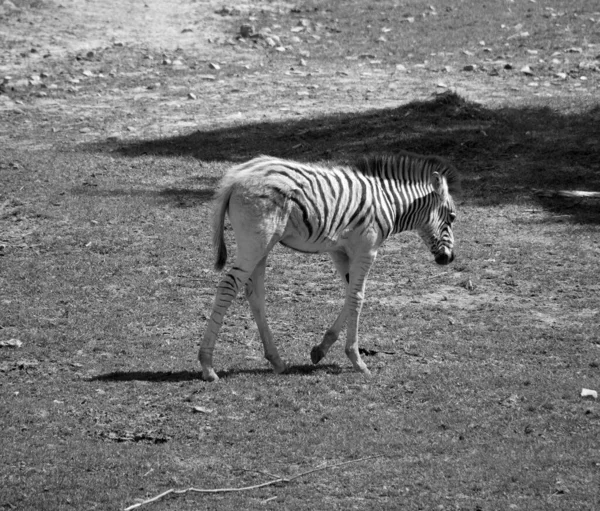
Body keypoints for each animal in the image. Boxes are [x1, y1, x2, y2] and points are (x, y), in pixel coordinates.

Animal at [200, 154, 460, 382]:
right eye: (452, 217)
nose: (449, 258)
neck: (389, 203)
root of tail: (237, 177)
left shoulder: (339, 251)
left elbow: (350, 294)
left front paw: (321, 349)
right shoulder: (366, 250)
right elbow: (357, 297)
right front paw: (357, 361)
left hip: (263, 246)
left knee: (255, 294)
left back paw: (276, 361)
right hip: (255, 242)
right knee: (228, 285)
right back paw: (207, 366)